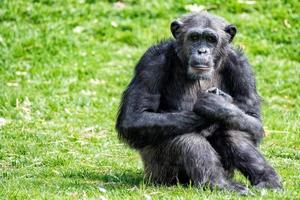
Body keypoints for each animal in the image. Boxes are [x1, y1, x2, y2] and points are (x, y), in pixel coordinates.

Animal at [115, 11, 282, 195]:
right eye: (194, 37)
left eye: (210, 39)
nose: (202, 51)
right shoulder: (152, 61)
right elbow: (135, 117)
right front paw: (211, 107)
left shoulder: (242, 66)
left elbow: (254, 120)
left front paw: (219, 106)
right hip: (160, 174)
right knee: (184, 136)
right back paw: (219, 183)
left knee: (233, 131)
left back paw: (268, 181)